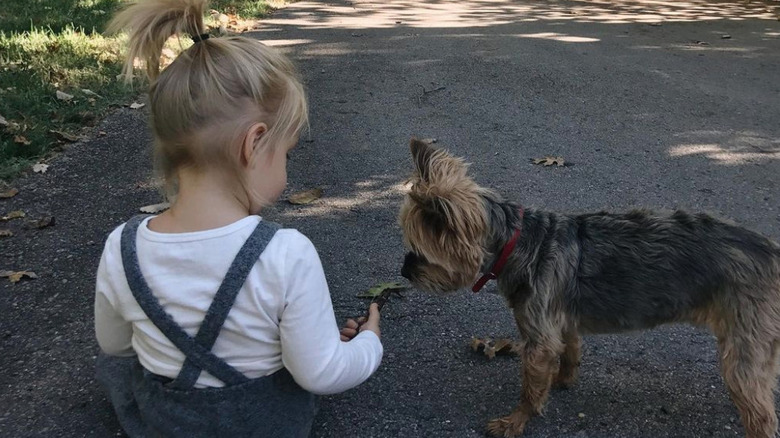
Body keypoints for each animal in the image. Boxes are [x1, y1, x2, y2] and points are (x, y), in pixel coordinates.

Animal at [400, 139, 780, 438]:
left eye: (419, 250)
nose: (404, 271)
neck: (518, 241)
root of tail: (772, 251)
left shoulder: (538, 338)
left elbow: (529, 386)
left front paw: (515, 421)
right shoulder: (562, 321)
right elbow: (569, 351)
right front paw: (562, 380)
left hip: (742, 345)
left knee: (760, 412)